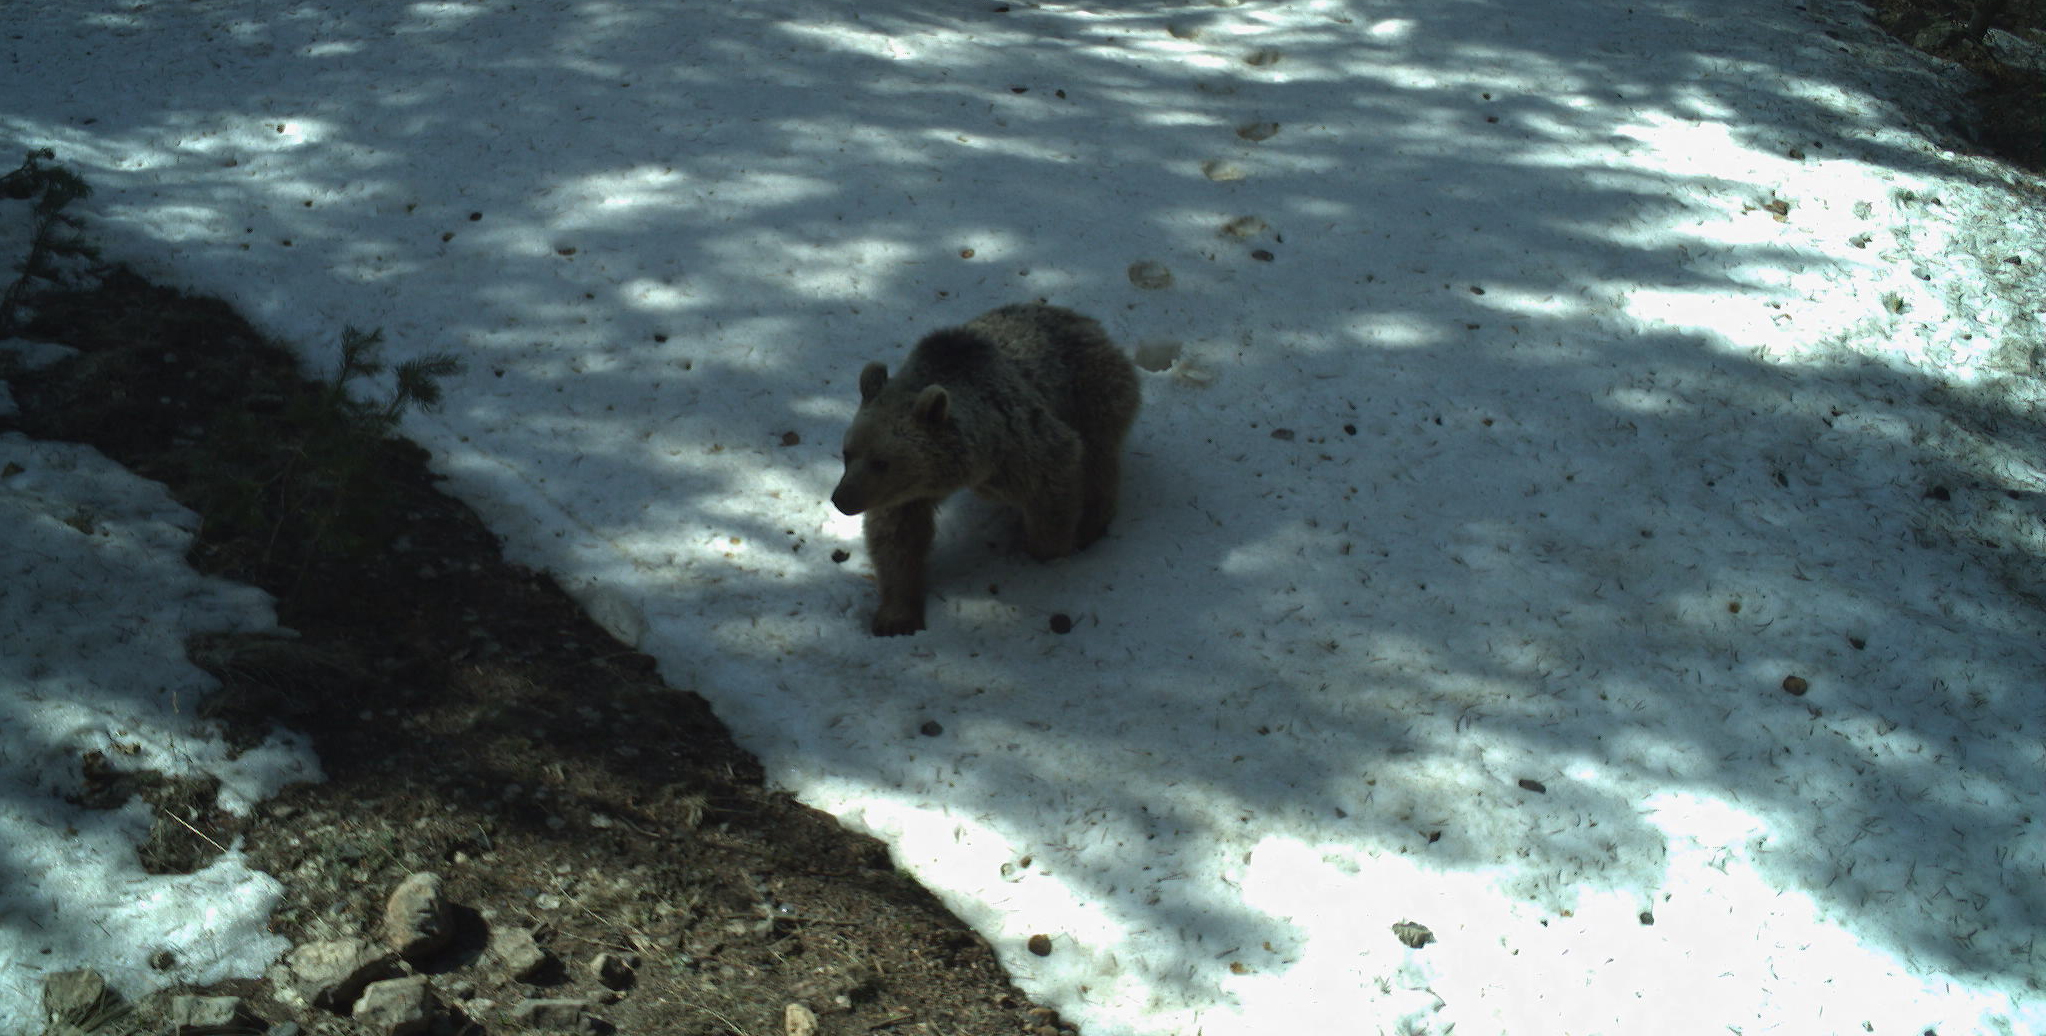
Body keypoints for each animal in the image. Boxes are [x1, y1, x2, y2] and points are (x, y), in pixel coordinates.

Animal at [834, 303, 1153, 634]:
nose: (841, 499)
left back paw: (1092, 526)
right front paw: (896, 616)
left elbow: (1054, 477)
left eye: (881, 462)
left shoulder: (1018, 446)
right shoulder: (906, 493)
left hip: (1091, 395)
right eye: (847, 453)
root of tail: (1085, 321)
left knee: (1098, 461)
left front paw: (1047, 550)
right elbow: (898, 536)